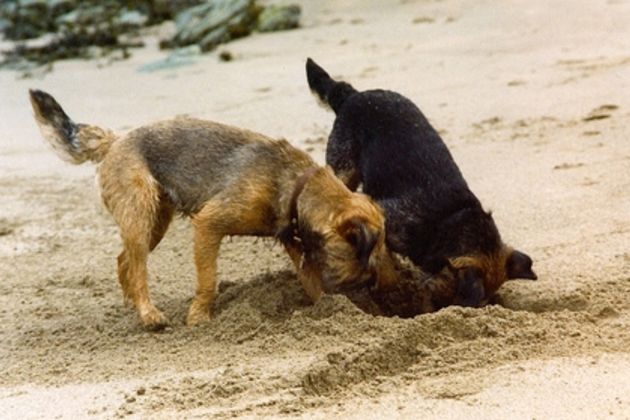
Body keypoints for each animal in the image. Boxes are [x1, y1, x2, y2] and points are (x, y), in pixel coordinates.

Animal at [29, 90, 398, 330]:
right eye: (367, 264)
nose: (388, 289)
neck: (295, 184)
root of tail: (115, 140)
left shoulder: (294, 242)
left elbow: (312, 283)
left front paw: (328, 308)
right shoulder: (209, 225)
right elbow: (208, 280)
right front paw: (200, 317)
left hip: (154, 221)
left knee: (126, 262)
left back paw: (134, 305)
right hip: (140, 212)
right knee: (137, 265)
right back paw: (150, 315)